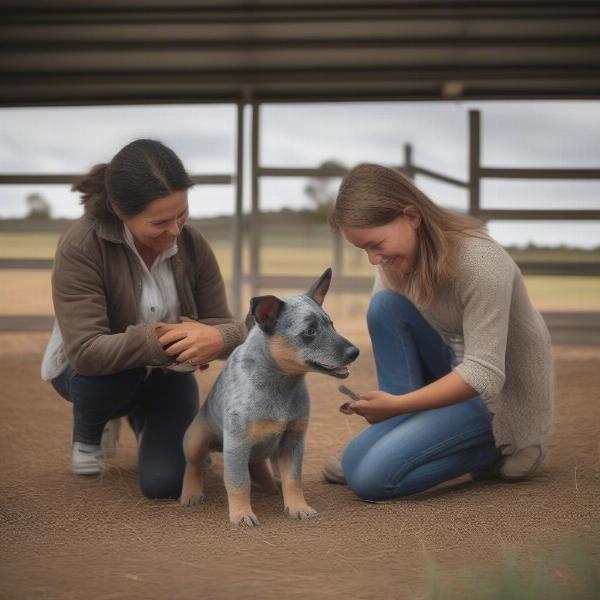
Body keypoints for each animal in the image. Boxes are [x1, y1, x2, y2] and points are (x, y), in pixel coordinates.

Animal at [180, 268, 358, 524]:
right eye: (310, 332)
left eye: (332, 325)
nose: (355, 352)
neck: (280, 385)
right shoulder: (237, 443)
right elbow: (238, 482)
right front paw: (242, 514)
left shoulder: (292, 442)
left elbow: (293, 480)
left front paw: (298, 507)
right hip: (196, 439)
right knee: (193, 466)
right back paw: (191, 493)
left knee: (258, 467)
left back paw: (271, 486)